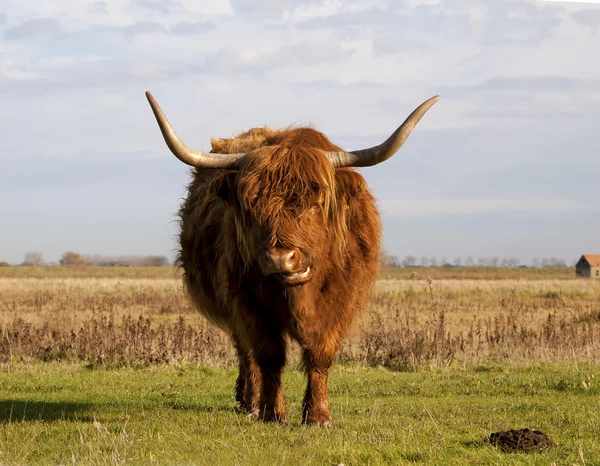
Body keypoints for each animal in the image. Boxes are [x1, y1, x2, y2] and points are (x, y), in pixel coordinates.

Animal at [144, 91, 436, 426]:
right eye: (251, 205)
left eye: (316, 200)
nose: (280, 259)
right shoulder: (247, 303)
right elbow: (268, 354)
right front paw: (272, 412)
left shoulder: (341, 301)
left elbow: (320, 354)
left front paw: (318, 416)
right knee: (246, 353)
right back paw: (250, 402)